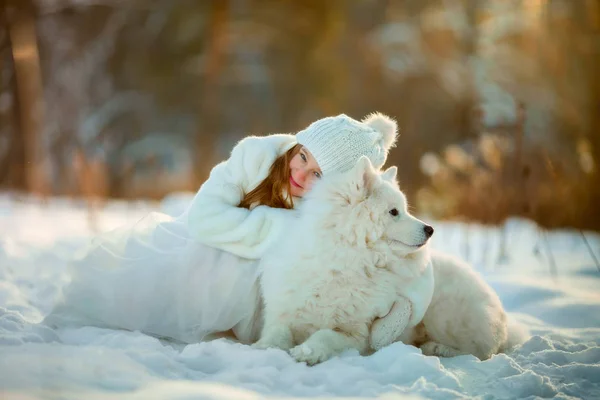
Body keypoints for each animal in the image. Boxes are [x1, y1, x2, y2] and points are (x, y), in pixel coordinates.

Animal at [253, 156, 436, 366]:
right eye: (393, 212)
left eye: (404, 210)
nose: (430, 229)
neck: (344, 261)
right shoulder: (281, 315)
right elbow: (278, 331)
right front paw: (265, 347)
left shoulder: (355, 333)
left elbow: (325, 334)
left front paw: (309, 351)